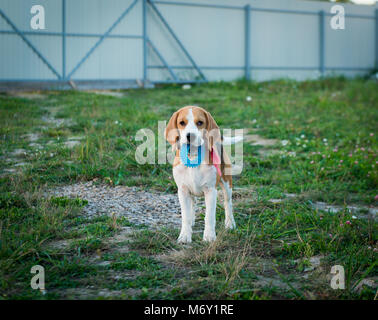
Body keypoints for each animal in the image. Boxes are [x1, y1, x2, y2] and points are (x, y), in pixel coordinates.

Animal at [165, 105, 239, 242]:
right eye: (182, 123)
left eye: (200, 123)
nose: (190, 136)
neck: (193, 156)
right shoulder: (182, 191)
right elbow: (185, 216)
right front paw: (185, 235)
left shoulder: (211, 191)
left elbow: (209, 216)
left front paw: (209, 236)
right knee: (192, 204)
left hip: (227, 185)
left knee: (228, 203)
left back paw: (230, 223)